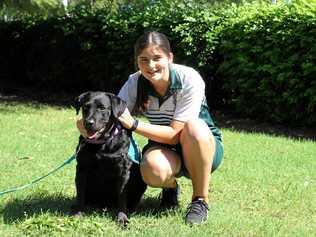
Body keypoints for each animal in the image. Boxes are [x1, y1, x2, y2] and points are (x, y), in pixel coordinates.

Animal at [72, 91, 146, 226]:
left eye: (102, 108)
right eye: (85, 107)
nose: (88, 122)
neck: (102, 143)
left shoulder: (123, 172)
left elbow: (122, 197)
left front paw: (122, 218)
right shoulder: (81, 169)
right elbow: (80, 194)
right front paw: (78, 213)